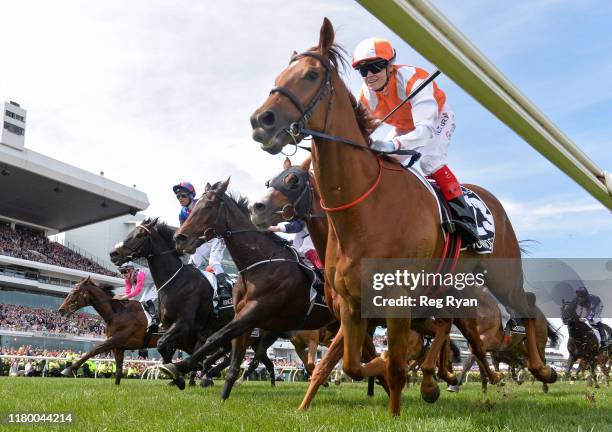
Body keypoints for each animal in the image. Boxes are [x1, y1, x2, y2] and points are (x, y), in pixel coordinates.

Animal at [57, 276, 192, 384]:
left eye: (75, 291)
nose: (61, 310)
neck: (117, 313)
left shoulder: (116, 339)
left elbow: (94, 350)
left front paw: (68, 369)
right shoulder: (118, 347)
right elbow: (118, 370)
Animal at [158, 181, 334, 398]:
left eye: (208, 206)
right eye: (193, 208)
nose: (180, 238)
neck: (259, 264)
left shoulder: (254, 310)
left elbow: (216, 339)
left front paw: (181, 368)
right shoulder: (241, 315)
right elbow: (228, 352)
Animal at [251, 18, 556, 416]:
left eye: (311, 74)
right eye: (279, 75)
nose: (261, 120)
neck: (363, 211)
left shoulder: (395, 301)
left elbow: (392, 366)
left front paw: (398, 401)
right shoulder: (352, 305)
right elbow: (349, 364)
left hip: (502, 272)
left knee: (527, 305)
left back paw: (540, 369)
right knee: (455, 328)